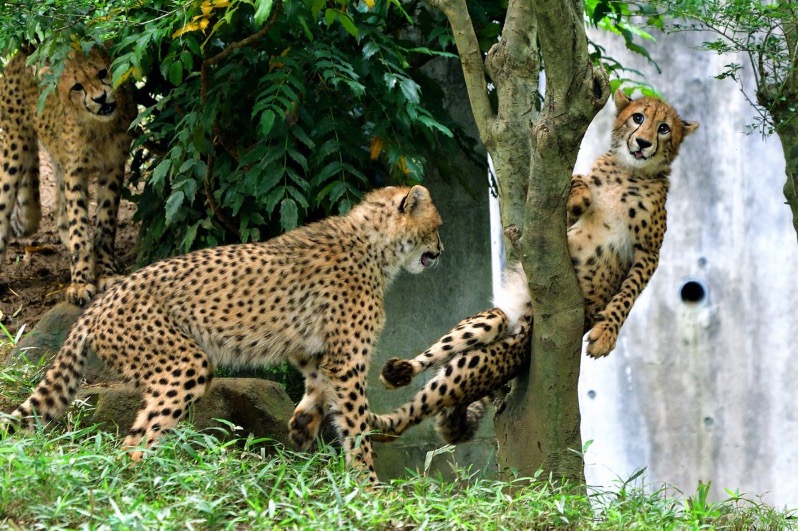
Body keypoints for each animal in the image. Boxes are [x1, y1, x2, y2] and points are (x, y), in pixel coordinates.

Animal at [0, 47, 136, 306]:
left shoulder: (113, 166)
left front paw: (106, 272)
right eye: (77, 87)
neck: (98, 127)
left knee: (61, 215)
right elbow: (79, 225)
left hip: (57, 157)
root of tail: (22, 51)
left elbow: (104, 225)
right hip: (14, 146)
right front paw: (80, 283)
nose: (100, 99)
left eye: (102, 72)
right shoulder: (75, 173)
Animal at [1, 185, 444, 484]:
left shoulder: (313, 349)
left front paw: (303, 424)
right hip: (183, 363)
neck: (375, 245)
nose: (441, 251)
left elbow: (317, 384)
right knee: (135, 443)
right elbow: (355, 424)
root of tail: (102, 299)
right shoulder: (347, 360)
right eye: (437, 226)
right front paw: (369, 486)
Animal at [372, 90, 696, 444]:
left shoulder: (649, 252)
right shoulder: (551, 233)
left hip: (503, 350)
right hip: (489, 322)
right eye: (638, 118)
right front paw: (579, 190)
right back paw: (393, 380)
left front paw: (606, 335)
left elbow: (627, 295)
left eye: (664, 128)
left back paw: (378, 424)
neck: (628, 172)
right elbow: (574, 196)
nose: (643, 142)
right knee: (438, 362)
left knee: (430, 401)